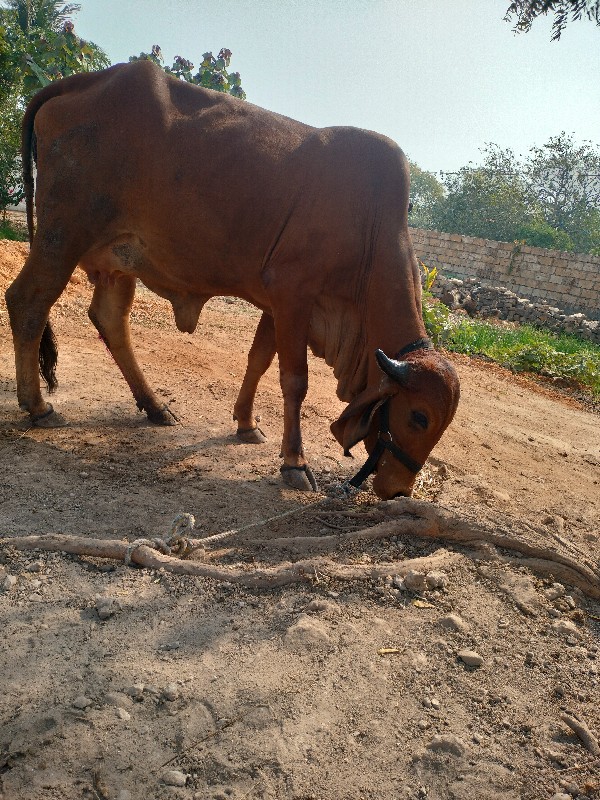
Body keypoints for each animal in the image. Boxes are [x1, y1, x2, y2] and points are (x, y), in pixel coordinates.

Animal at [5, 62, 460, 496]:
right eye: (419, 416)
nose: (398, 489)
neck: (369, 225)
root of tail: (89, 80)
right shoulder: (293, 293)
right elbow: (294, 381)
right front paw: (294, 464)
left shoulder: (277, 304)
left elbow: (258, 361)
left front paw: (245, 424)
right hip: (62, 234)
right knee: (27, 301)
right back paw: (39, 407)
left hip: (120, 257)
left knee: (109, 320)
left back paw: (154, 406)